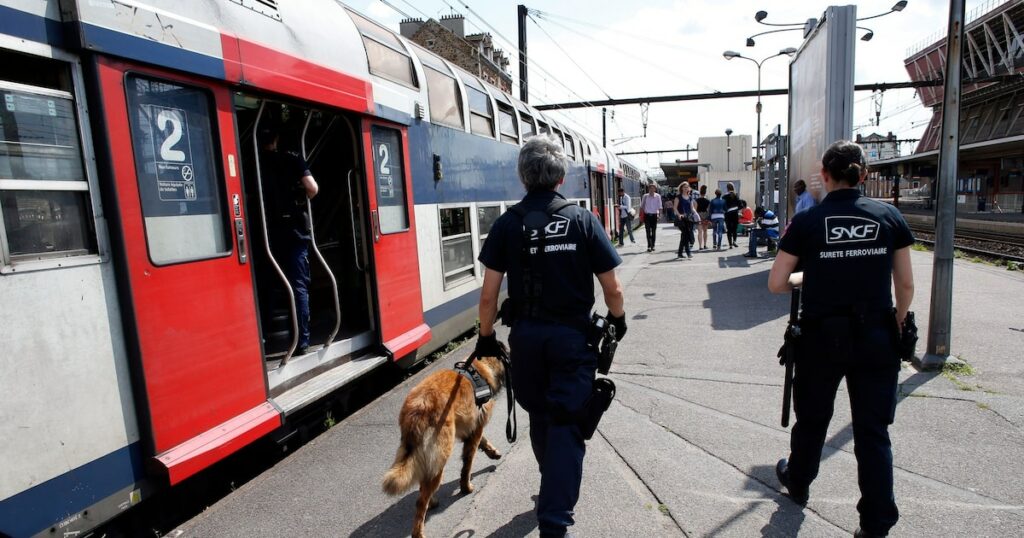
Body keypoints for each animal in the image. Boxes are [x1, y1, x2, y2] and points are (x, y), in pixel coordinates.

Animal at [382, 352, 505, 536]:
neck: (479, 369)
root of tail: (419, 408)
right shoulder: (475, 430)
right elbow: (467, 465)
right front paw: (466, 487)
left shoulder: (471, 428)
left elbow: (483, 442)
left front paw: (492, 452)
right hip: (440, 456)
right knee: (421, 499)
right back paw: (419, 531)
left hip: (421, 455)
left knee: (423, 486)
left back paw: (432, 501)